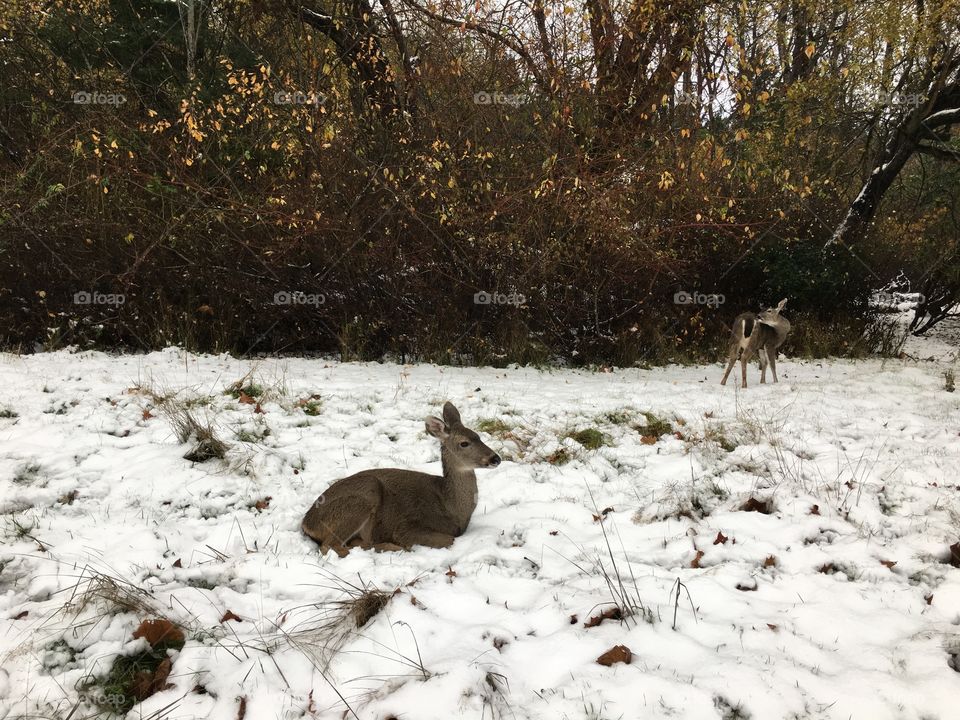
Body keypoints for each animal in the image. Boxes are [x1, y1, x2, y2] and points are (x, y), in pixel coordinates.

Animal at [302, 402, 502, 556]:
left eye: (478, 436)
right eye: (464, 443)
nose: (496, 458)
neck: (452, 508)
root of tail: (306, 523)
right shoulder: (407, 526)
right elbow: (449, 539)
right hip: (364, 495)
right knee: (328, 546)